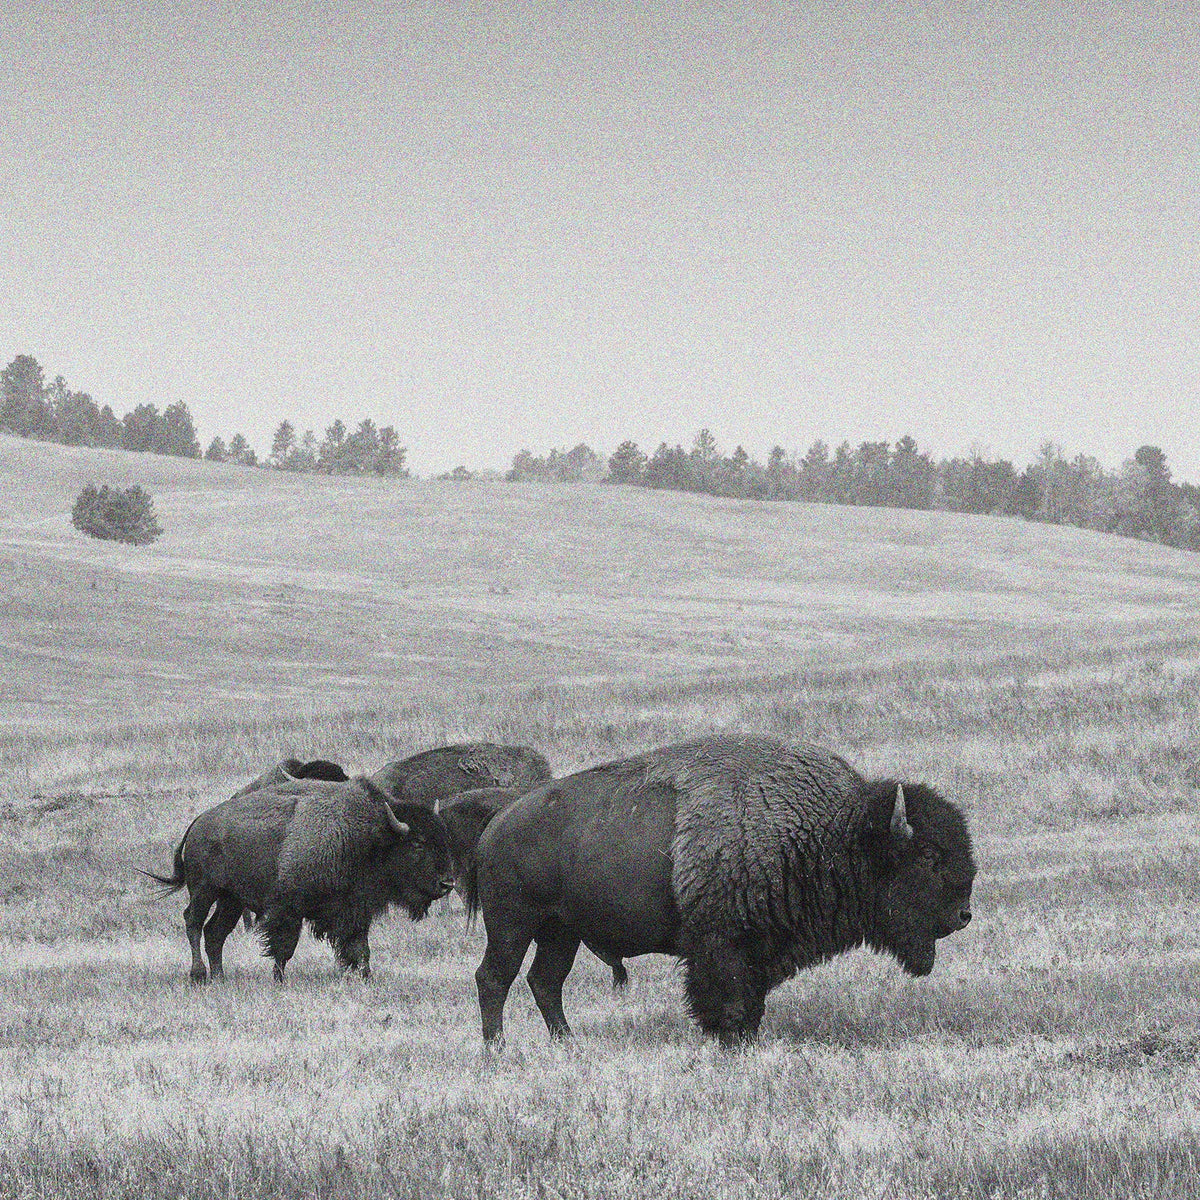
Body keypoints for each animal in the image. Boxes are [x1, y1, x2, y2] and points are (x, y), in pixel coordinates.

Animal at [147, 775, 454, 982]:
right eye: (417, 843)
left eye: (442, 838)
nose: (447, 883)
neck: (369, 837)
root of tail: (198, 823)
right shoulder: (288, 910)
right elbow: (284, 948)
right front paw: (279, 980)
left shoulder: (355, 910)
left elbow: (360, 947)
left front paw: (366, 977)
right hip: (204, 890)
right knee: (193, 922)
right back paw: (198, 975)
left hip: (231, 900)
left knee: (214, 932)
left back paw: (220, 977)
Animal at [465, 735, 975, 1046]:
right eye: (928, 857)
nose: (963, 914)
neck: (830, 832)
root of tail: (498, 822)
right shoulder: (721, 945)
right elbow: (727, 1000)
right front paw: (729, 1042)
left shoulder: (758, 950)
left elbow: (752, 1001)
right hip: (513, 923)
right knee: (495, 977)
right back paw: (498, 1049)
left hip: (560, 931)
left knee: (545, 981)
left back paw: (567, 1043)